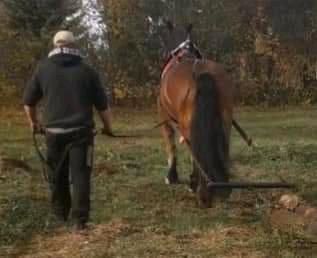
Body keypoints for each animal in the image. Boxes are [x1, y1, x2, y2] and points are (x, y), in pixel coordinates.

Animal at [158, 22, 235, 208]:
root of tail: (202, 73)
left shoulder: (164, 118)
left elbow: (171, 146)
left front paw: (172, 177)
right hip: (225, 122)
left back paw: (202, 193)